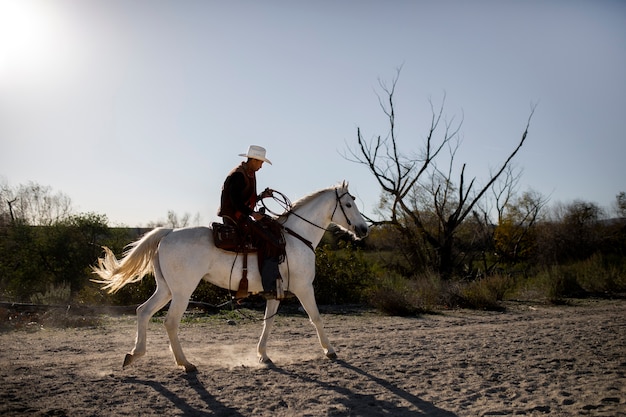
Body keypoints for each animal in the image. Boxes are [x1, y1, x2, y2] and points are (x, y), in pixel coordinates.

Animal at [92, 180, 366, 372]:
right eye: (348, 205)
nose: (363, 229)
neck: (297, 237)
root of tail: (168, 233)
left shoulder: (274, 291)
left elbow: (268, 323)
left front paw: (263, 355)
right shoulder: (304, 287)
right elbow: (316, 318)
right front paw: (330, 351)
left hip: (166, 289)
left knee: (143, 311)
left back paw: (134, 354)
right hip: (182, 292)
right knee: (170, 322)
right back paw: (185, 363)